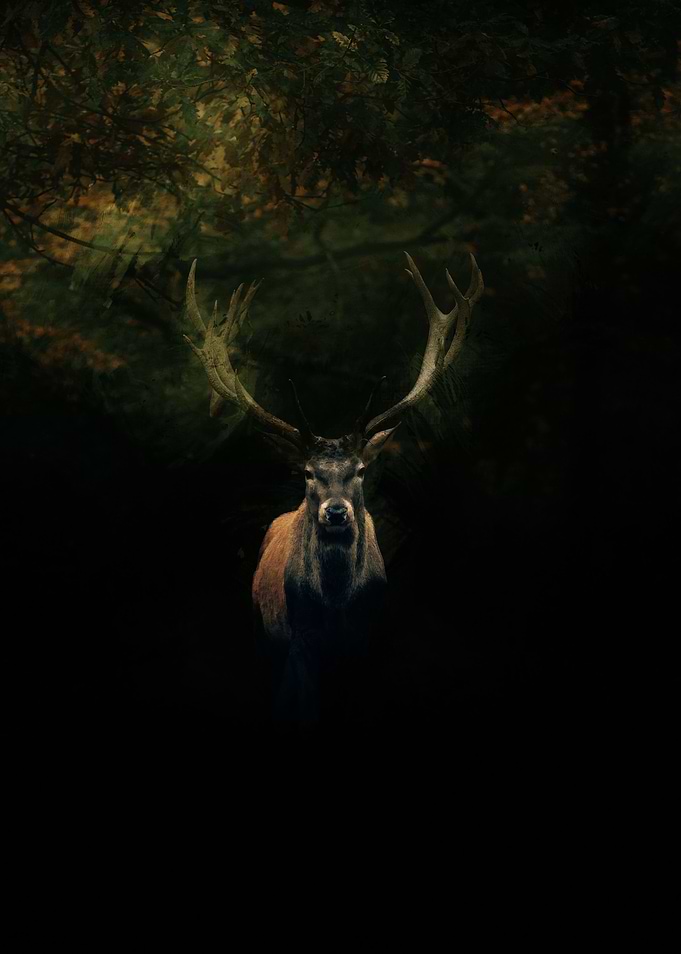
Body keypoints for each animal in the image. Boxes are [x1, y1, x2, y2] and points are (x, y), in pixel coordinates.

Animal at [183, 250, 484, 724]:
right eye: (307, 472)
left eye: (359, 469)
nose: (336, 512)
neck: (337, 607)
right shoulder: (299, 641)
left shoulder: (364, 642)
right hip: (262, 630)